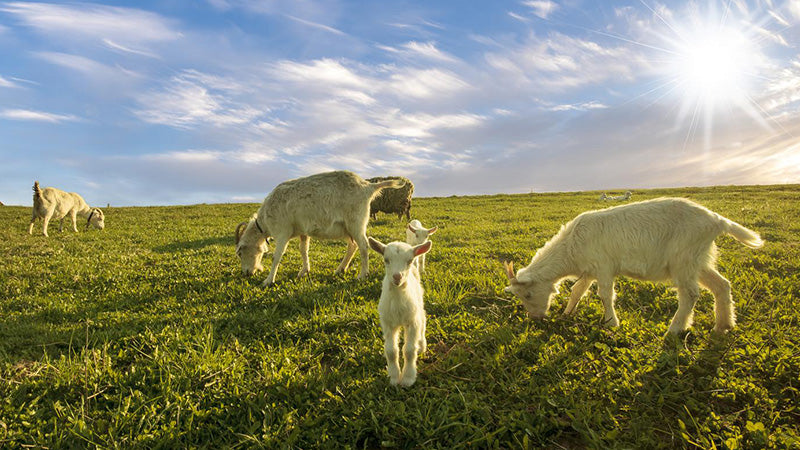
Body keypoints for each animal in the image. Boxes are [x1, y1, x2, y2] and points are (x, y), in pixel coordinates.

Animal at [234, 171, 404, 286]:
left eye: (240, 252)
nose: (246, 273)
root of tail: (368, 187)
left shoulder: (282, 232)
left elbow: (277, 256)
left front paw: (268, 280)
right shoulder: (302, 231)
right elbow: (303, 250)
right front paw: (304, 271)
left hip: (356, 222)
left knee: (363, 245)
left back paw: (362, 274)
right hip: (346, 227)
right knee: (353, 245)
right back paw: (340, 269)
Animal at [368, 236, 432, 386]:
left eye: (409, 260)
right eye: (386, 259)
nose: (397, 277)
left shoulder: (412, 321)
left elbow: (409, 350)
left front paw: (408, 378)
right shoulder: (387, 323)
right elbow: (391, 351)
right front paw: (394, 377)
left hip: (418, 302)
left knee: (423, 318)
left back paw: (421, 344)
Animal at [504, 199, 764, 336]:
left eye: (528, 294)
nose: (535, 318)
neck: (571, 246)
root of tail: (718, 220)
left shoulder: (604, 267)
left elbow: (605, 295)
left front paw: (611, 323)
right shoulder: (590, 270)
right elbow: (577, 290)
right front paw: (567, 313)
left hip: (684, 258)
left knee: (690, 294)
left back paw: (674, 330)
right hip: (699, 260)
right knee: (722, 285)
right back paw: (723, 326)